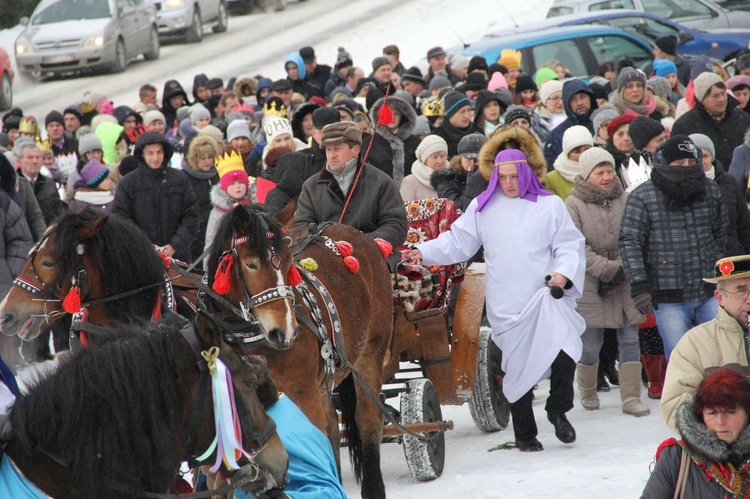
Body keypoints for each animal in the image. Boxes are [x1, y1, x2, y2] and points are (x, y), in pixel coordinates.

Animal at [206, 203, 394, 499]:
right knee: (331, 427)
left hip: (370, 355)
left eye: (287, 261)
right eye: (251, 263)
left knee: (367, 420)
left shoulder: (300, 394)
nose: (284, 331)